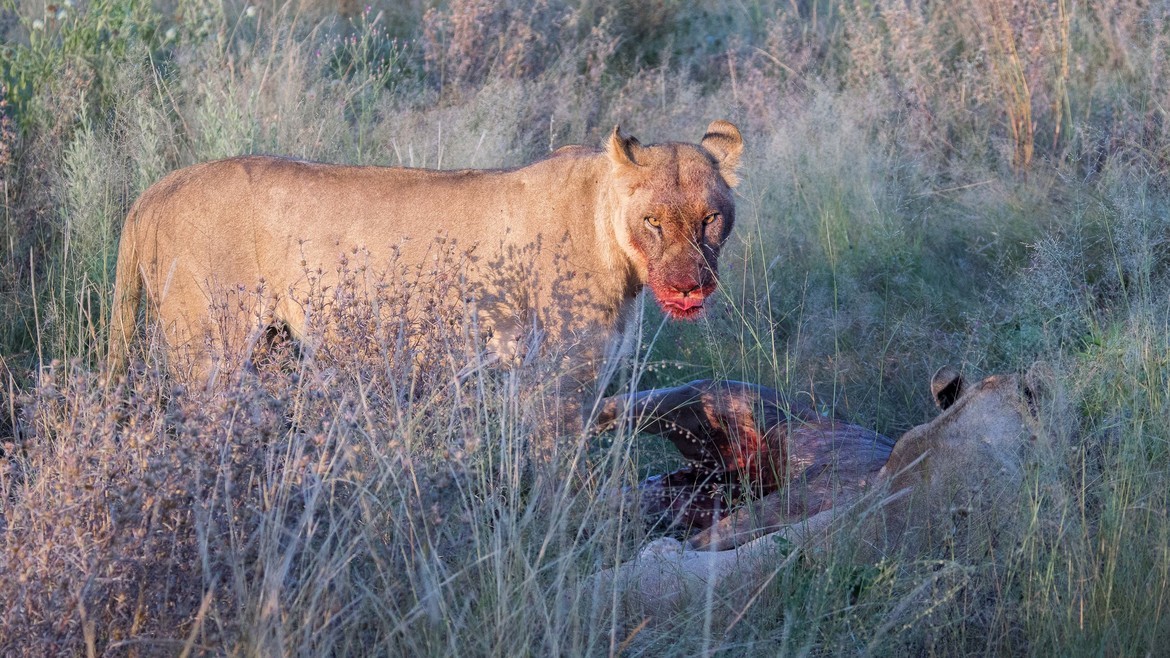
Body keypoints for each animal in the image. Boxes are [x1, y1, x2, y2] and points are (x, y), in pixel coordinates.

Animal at [107, 122, 744, 394]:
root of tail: (155, 189)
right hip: (207, 348)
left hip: (266, 344)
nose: (690, 288)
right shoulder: (561, 374)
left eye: (710, 219)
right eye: (653, 222)